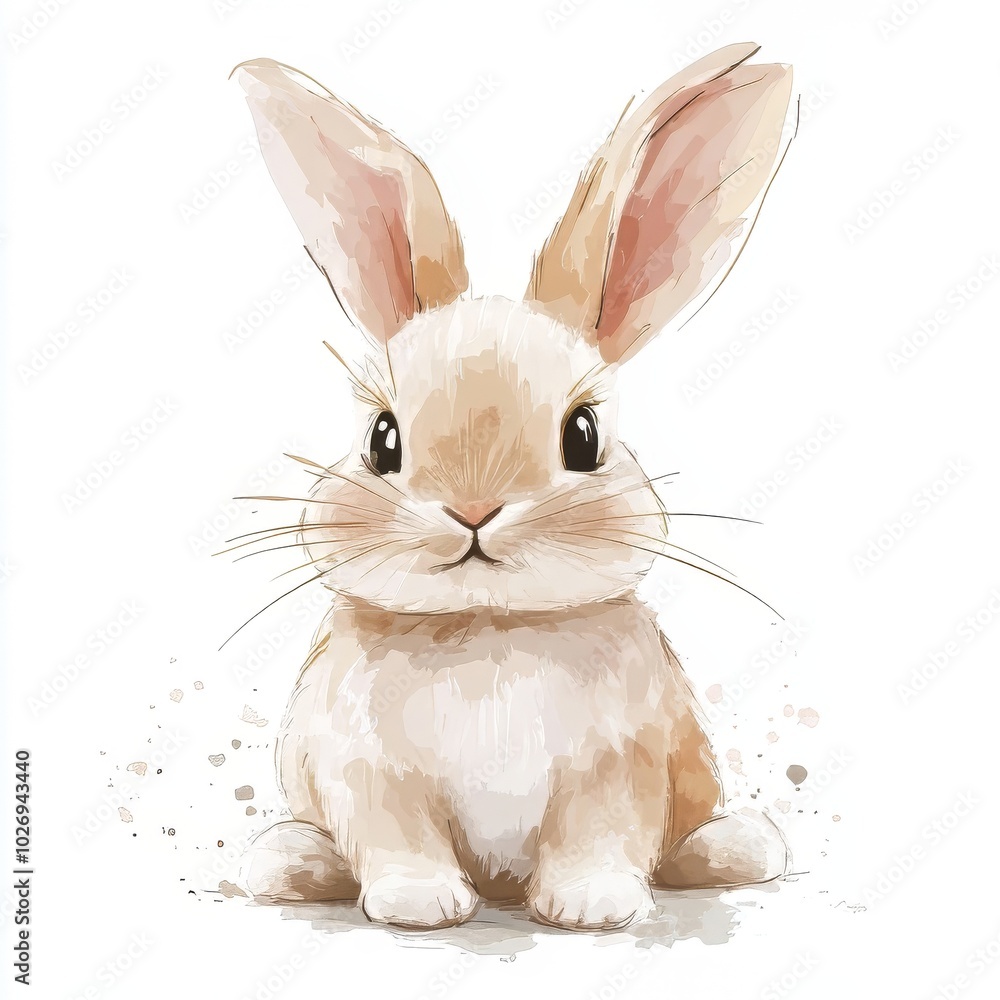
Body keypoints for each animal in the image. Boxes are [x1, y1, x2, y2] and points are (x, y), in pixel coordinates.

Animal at [232, 41, 795, 931]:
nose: (472, 511)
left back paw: (741, 846)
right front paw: (422, 905)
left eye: (584, 435)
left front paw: (593, 906)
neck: (487, 630)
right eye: (381, 440)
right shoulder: (366, 775)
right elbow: (397, 839)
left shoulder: (617, 774)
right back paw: (286, 860)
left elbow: (599, 836)